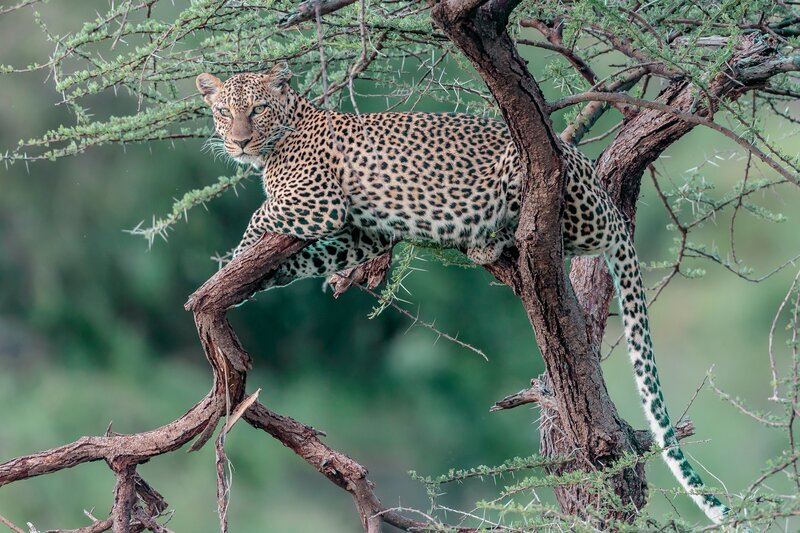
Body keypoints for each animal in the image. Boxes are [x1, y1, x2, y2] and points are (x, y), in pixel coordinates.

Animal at [196, 63, 728, 524]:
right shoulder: (364, 234)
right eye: (223, 110)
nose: (238, 140)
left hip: (532, 174)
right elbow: (307, 255)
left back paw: (488, 236)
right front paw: (251, 281)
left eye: (257, 109)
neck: (285, 131)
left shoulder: (317, 203)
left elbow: (260, 215)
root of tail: (606, 199)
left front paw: (228, 265)